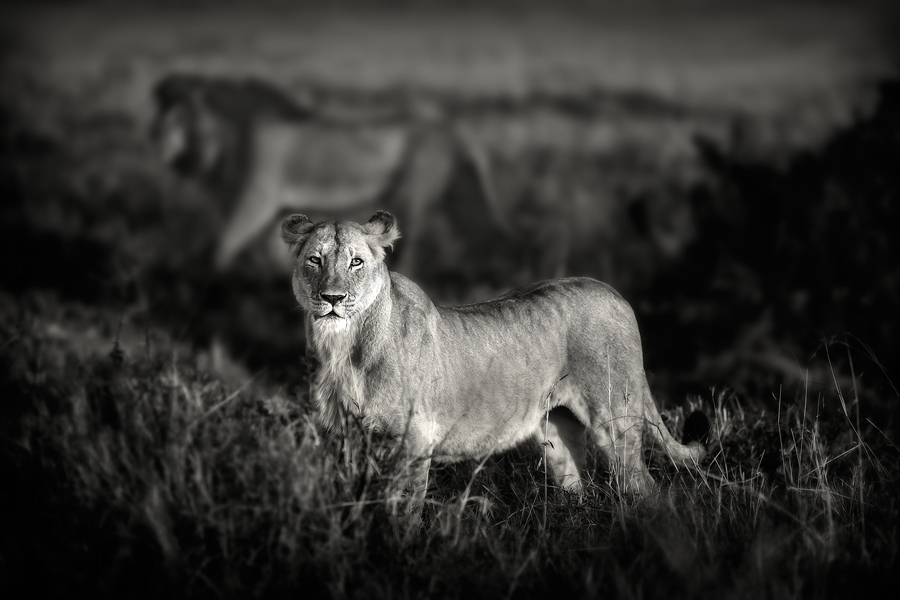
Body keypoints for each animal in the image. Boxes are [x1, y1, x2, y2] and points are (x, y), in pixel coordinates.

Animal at [151, 74, 510, 292]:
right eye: (159, 114)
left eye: (180, 115)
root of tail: (450, 126)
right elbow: (268, 256)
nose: (155, 141)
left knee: (416, 246)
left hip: (415, 194)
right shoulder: (270, 212)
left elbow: (222, 250)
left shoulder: (258, 200)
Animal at [281, 211, 709, 507]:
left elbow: (402, 509)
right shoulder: (342, 439)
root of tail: (615, 293)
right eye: (315, 260)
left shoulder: (414, 438)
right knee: (577, 489)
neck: (344, 349)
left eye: (356, 262)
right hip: (557, 432)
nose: (332, 298)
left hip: (614, 419)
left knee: (649, 491)